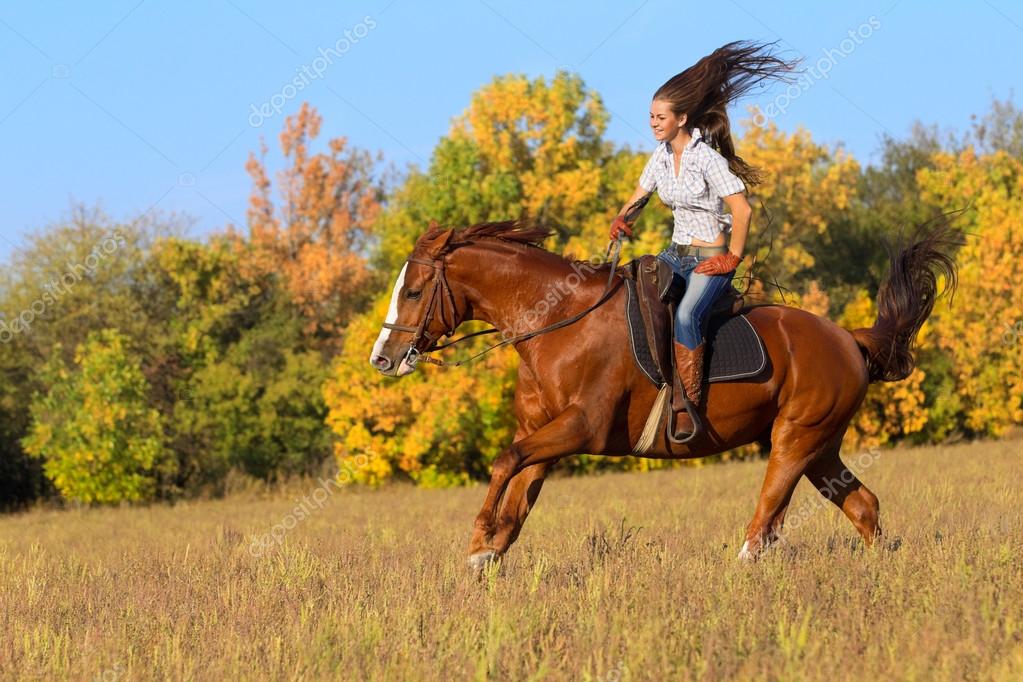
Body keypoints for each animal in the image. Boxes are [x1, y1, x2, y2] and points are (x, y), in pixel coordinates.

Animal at [368, 219, 957, 572]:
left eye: (414, 291)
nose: (382, 358)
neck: (559, 321)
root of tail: (848, 338)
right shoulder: (546, 434)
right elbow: (517, 492)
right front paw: (487, 554)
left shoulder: (581, 428)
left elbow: (503, 462)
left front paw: (476, 542)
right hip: (821, 447)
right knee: (862, 506)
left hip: (796, 438)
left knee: (769, 515)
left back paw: (741, 570)